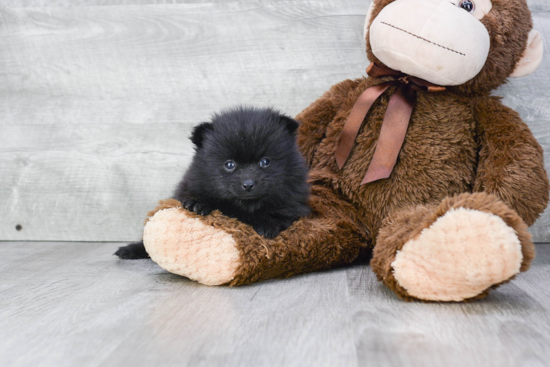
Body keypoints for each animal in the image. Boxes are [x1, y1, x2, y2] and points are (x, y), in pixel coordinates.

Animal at [116, 106, 310, 260]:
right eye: (229, 164)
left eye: (265, 162)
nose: (248, 184)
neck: (245, 206)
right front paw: (197, 204)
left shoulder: (293, 204)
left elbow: (279, 215)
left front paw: (267, 225)